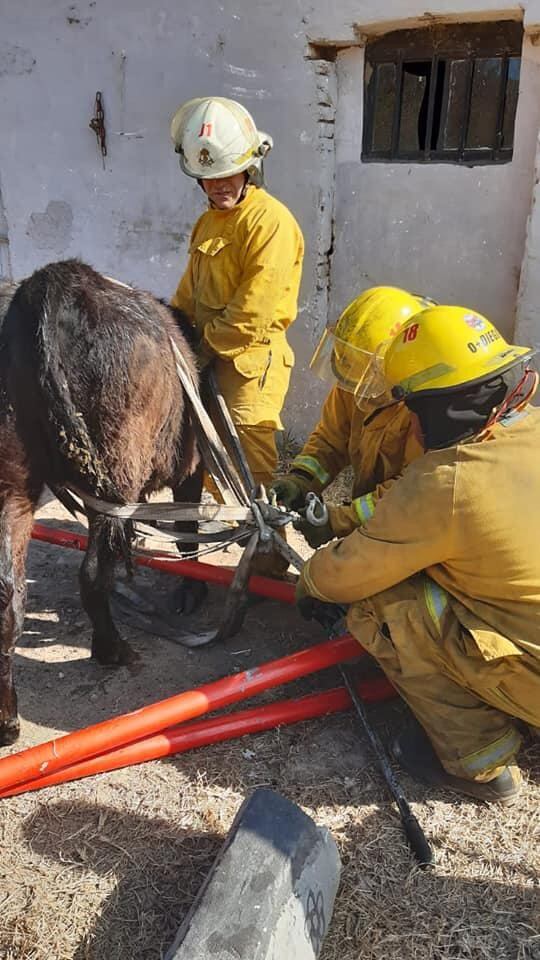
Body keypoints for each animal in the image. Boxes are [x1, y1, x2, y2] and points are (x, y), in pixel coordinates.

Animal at [0, 258, 204, 748]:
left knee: (8, 600)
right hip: (113, 476)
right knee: (94, 574)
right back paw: (111, 649)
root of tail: (52, 283)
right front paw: (192, 589)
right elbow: (187, 533)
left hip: (14, 490)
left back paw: (8, 722)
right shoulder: (190, 467)